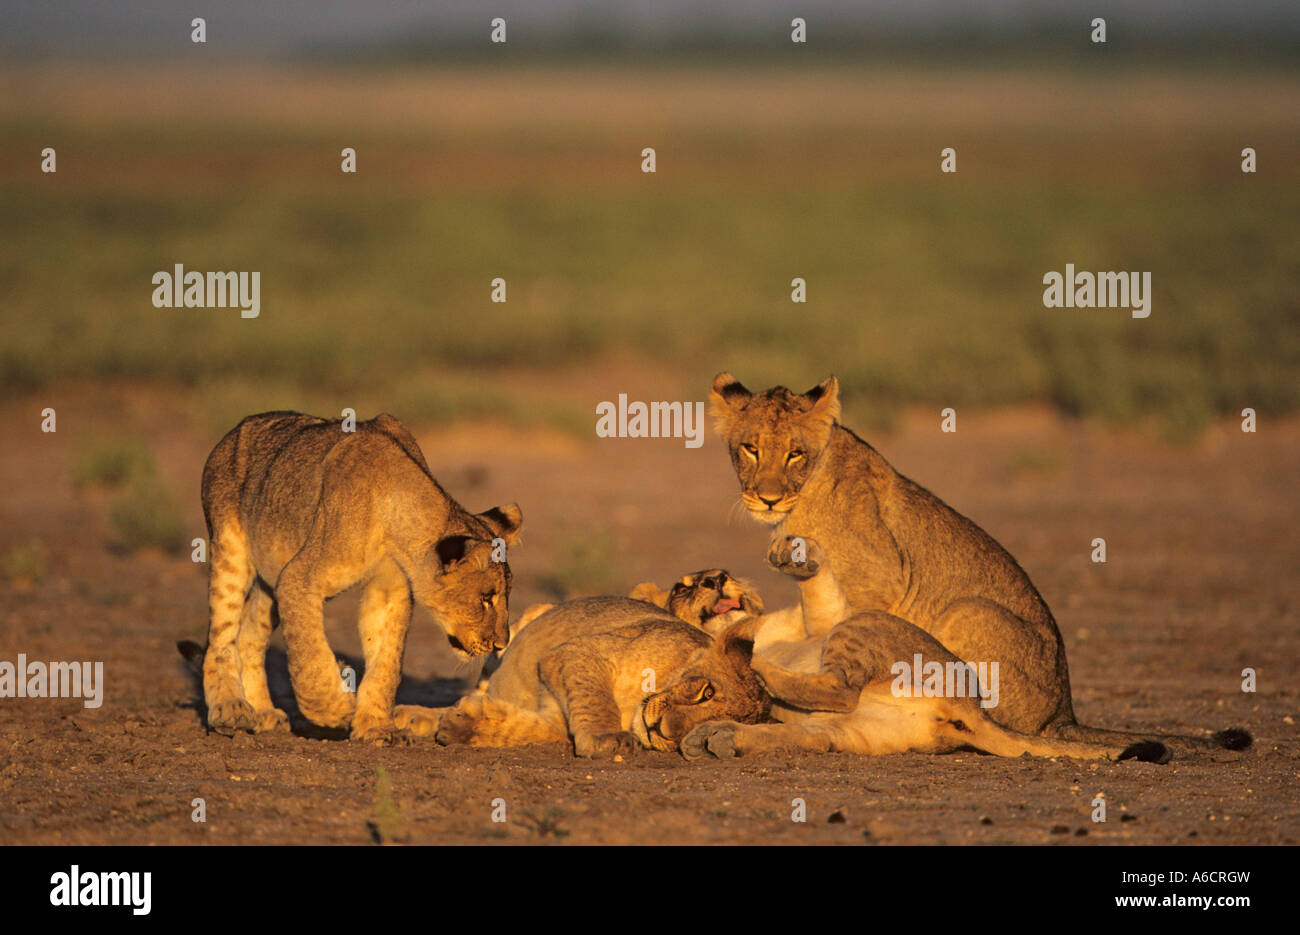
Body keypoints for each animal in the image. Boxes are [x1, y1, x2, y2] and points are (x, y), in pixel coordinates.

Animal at [193, 410, 522, 744]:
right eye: (486, 599)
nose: (501, 643)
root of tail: (236, 430)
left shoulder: (389, 589)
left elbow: (385, 664)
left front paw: (375, 726)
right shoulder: (299, 578)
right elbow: (311, 661)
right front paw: (337, 708)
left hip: (271, 577)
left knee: (249, 633)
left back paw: (262, 713)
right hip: (230, 549)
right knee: (220, 636)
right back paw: (230, 708)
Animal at [710, 374, 1251, 754]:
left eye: (795, 454)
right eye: (750, 449)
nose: (767, 498)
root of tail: (1065, 714)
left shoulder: (879, 582)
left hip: (968, 611)